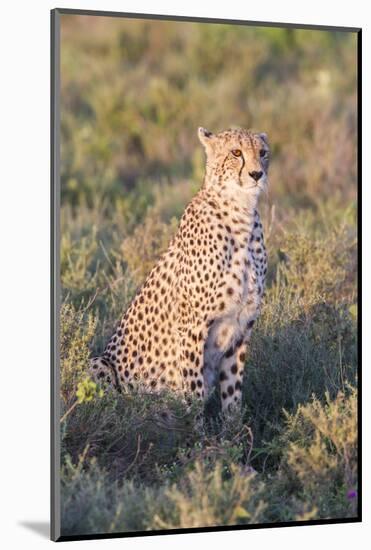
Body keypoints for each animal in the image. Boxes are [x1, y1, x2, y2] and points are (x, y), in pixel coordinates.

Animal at [91, 128, 270, 414]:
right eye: (236, 152)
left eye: (262, 152)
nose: (256, 174)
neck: (240, 213)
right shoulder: (192, 327)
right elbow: (193, 394)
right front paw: (193, 427)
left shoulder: (242, 327)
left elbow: (232, 396)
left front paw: (235, 428)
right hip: (99, 364)